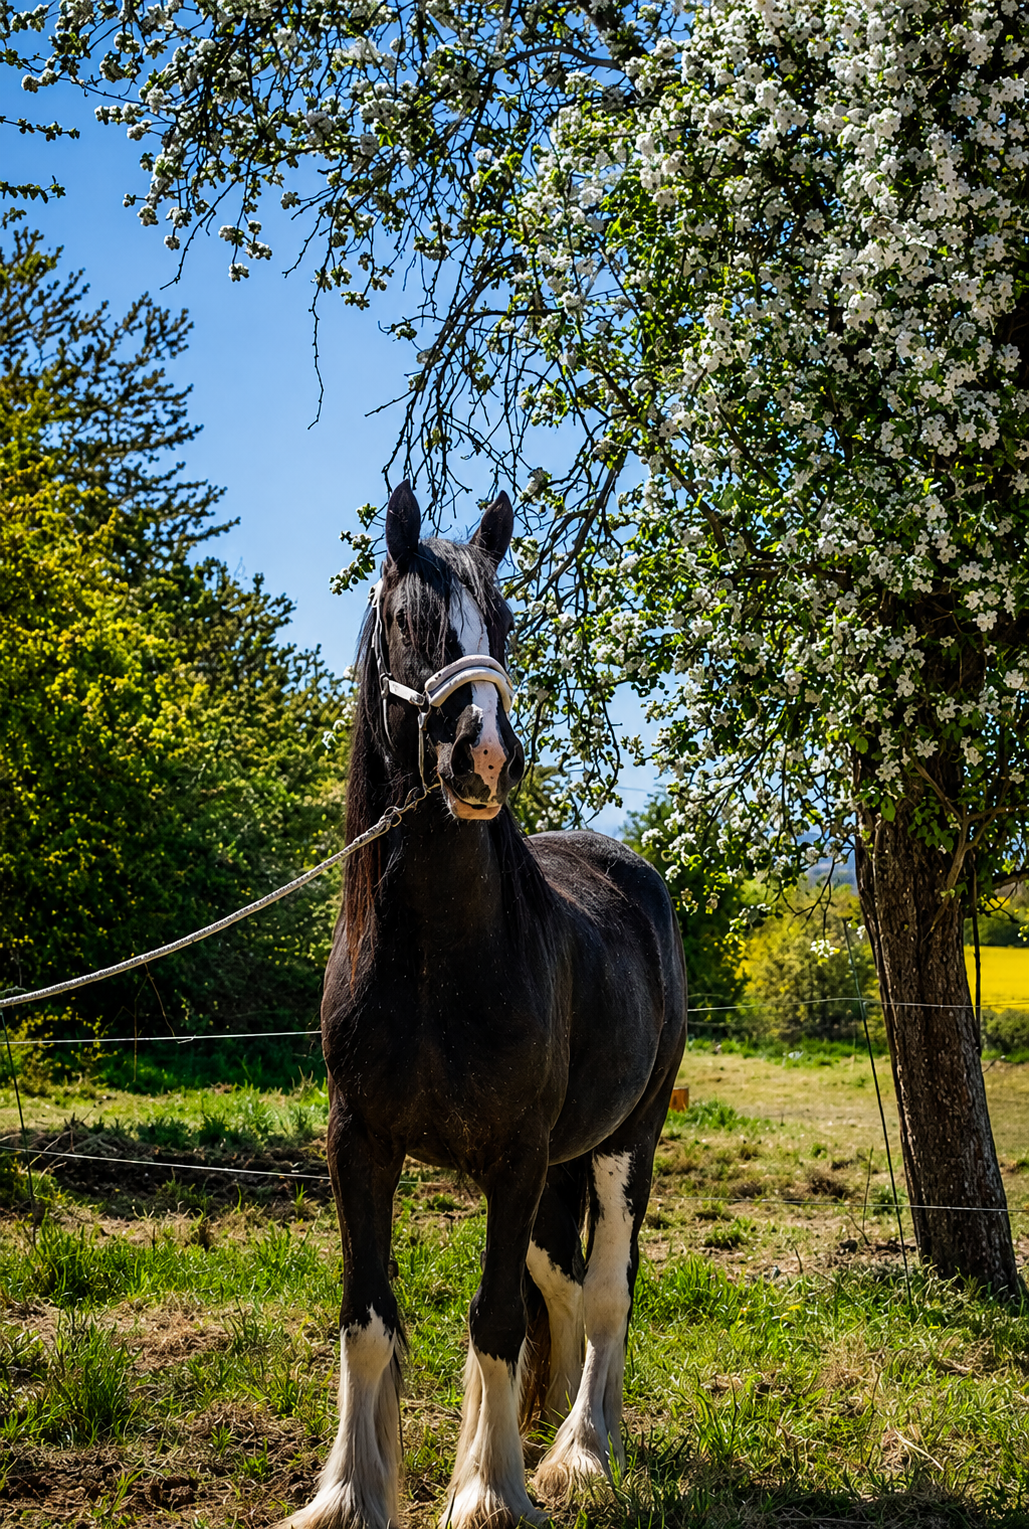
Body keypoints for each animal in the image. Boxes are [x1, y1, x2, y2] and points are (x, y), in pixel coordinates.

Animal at [280, 482, 687, 1529]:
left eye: (501, 623)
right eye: (410, 624)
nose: (486, 758)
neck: (438, 963)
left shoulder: (511, 1156)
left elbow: (496, 1318)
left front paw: (491, 1493)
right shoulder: (359, 1143)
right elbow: (367, 1319)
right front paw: (351, 1494)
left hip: (624, 1143)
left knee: (609, 1289)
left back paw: (582, 1450)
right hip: (561, 1167)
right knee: (568, 1283)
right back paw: (569, 1434)